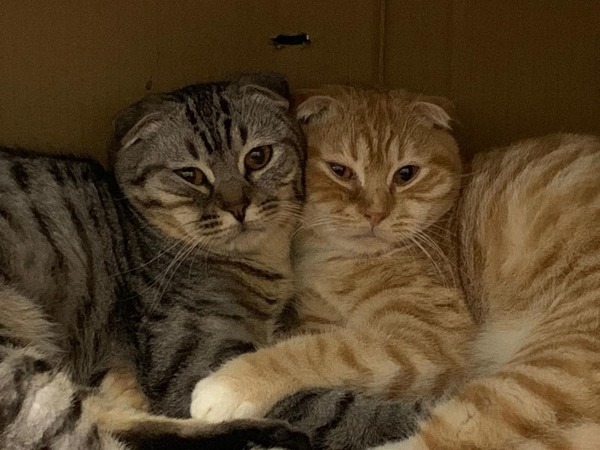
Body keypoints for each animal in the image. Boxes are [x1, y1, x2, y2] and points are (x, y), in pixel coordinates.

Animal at [190, 86, 600, 449]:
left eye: (406, 175)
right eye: (340, 171)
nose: (375, 213)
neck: (334, 259)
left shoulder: (423, 337)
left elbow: (314, 351)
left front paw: (227, 384)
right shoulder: (318, 319)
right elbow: (307, 338)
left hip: (551, 364)